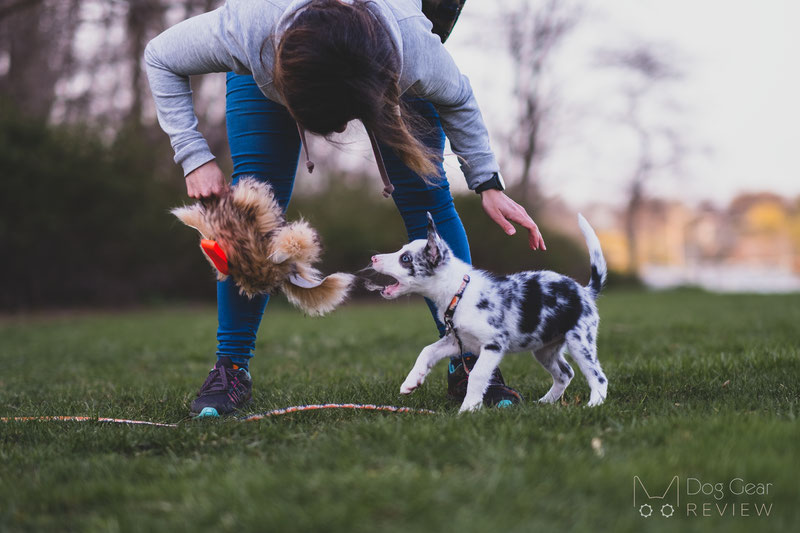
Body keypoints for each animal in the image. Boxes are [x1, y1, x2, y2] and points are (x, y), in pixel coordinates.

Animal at [372, 212, 608, 412]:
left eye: (405, 259)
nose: (373, 259)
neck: (459, 292)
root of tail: (584, 291)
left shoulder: (493, 345)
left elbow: (477, 375)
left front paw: (468, 408)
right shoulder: (459, 341)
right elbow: (427, 351)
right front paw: (412, 381)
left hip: (580, 342)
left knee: (598, 377)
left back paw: (593, 405)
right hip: (545, 349)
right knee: (565, 374)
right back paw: (545, 402)